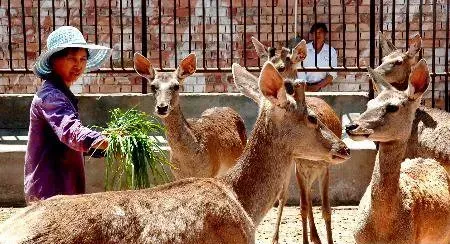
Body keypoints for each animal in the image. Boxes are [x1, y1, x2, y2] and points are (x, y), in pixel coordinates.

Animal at [250, 36, 344, 244]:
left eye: (282, 67)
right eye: (264, 62)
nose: (286, 86)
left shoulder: (325, 166)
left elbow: (326, 210)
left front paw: (328, 239)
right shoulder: (299, 167)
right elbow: (302, 207)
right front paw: (307, 239)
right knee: (292, 196)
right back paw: (280, 237)